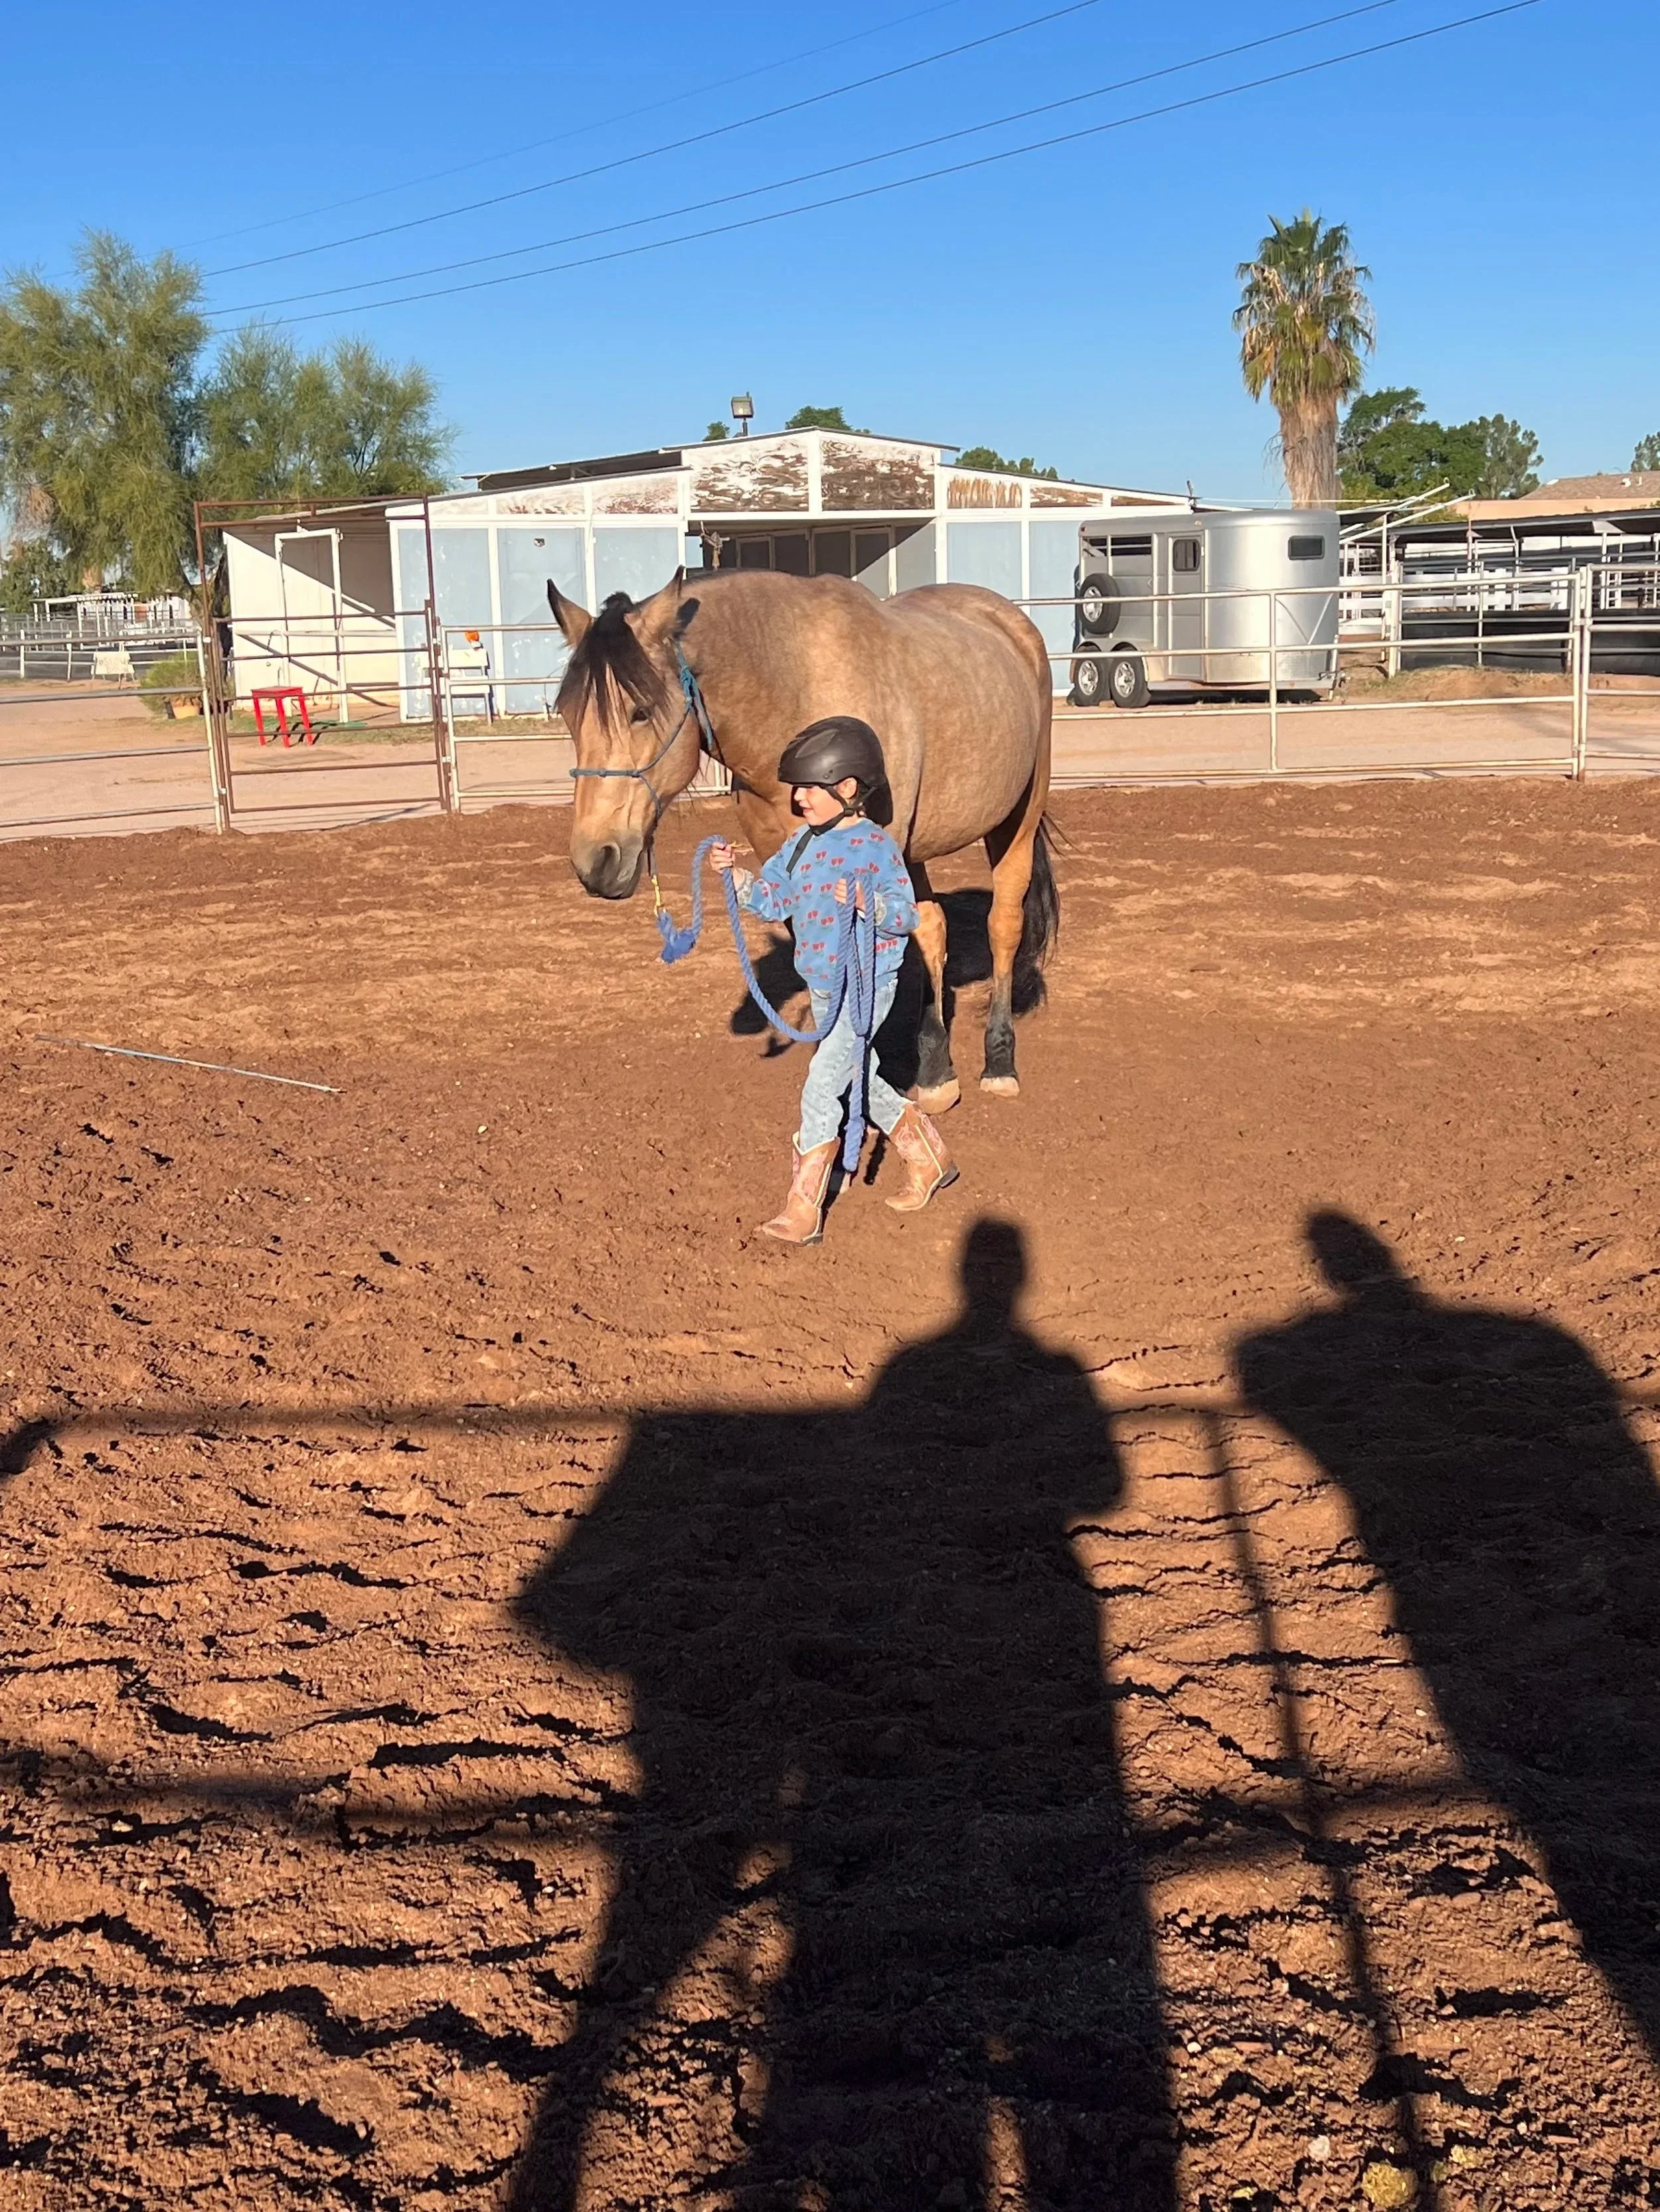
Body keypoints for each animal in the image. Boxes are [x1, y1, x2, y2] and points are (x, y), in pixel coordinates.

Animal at [547, 567, 1058, 1109]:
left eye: (641, 711)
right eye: (568, 713)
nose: (596, 861)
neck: (794, 692)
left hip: (1019, 819)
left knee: (1003, 926)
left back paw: (998, 1061)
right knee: (931, 928)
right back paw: (936, 1069)